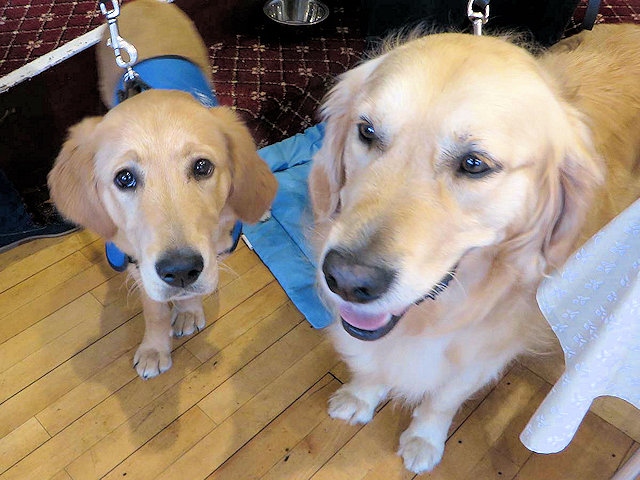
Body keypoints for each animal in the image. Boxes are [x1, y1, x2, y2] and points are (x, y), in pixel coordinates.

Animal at [48, 0, 276, 382]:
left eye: (202, 167)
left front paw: (188, 311)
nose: (181, 270)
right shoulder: (136, 263)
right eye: (124, 178)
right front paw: (155, 349)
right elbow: (154, 308)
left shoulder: (216, 248)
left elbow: (196, 288)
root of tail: (140, 3)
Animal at [308, 23, 640, 472]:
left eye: (474, 164)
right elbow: (372, 368)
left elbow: (443, 399)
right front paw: (360, 397)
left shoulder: (485, 351)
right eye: (367, 132)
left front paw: (424, 439)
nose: (346, 279)